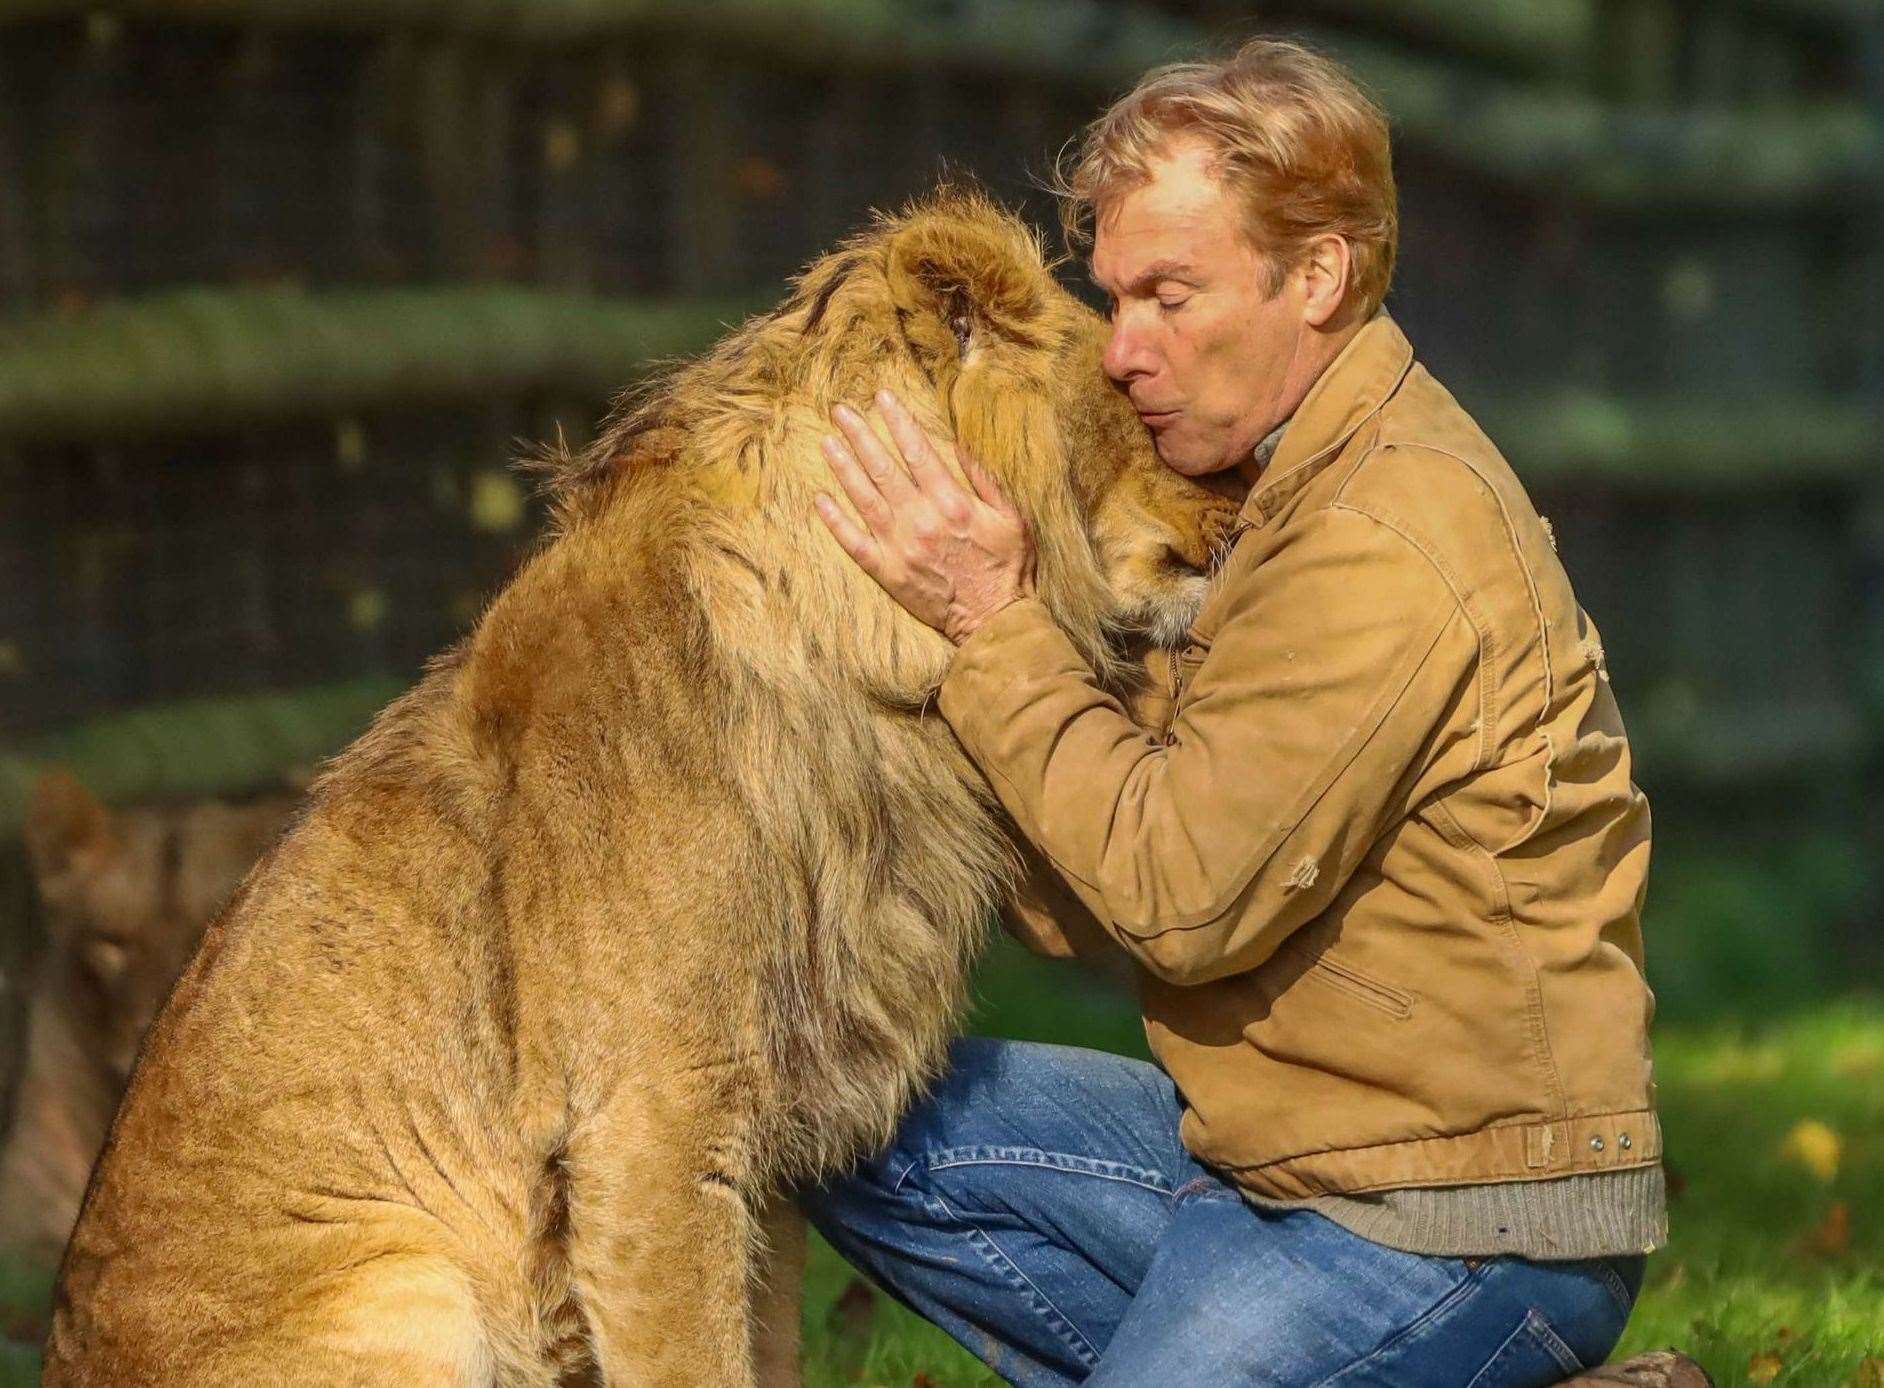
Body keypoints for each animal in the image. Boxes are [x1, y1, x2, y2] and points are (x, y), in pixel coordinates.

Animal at [44, 189, 1235, 1378]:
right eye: (1138, 400)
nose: (1237, 520)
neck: (867, 682)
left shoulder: (770, 1142)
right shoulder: (651, 1132)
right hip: (415, 1284)